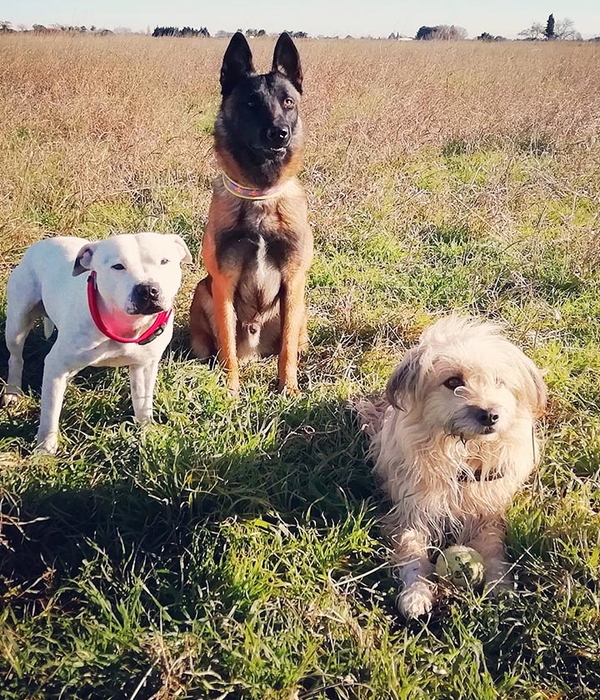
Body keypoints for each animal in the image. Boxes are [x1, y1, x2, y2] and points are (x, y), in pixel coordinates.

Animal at [2, 232, 191, 454]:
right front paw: (45, 450)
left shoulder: (145, 365)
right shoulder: (56, 366)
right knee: (16, 357)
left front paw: (146, 431)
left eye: (164, 261)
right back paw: (13, 391)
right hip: (17, 323)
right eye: (118, 266)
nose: (147, 289)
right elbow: (50, 413)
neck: (127, 325)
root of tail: (42, 244)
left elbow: (143, 403)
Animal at [189, 32, 313, 394]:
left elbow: (286, 349)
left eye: (288, 102)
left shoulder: (293, 281)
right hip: (202, 291)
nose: (279, 133)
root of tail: (255, 350)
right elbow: (227, 343)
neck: (259, 197)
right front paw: (230, 390)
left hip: (301, 307)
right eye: (250, 104)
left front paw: (288, 388)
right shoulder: (223, 283)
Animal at [358, 316, 547, 619]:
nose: (490, 415)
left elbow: (494, 547)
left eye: (499, 382)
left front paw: (500, 585)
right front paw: (416, 593)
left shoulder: (488, 513)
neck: (464, 456)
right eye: (453, 381)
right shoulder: (411, 513)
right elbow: (412, 552)